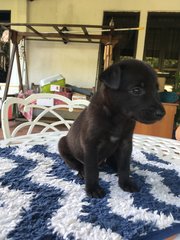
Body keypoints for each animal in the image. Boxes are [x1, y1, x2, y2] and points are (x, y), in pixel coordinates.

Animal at [58, 59, 165, 198]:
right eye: (136, 90)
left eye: (156, 89)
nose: (162, 113)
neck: (118, 118)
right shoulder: (91, 144)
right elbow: (92, 169)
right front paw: (93, 188)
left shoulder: (125, 143)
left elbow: (124, 165)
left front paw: (125, 182)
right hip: (63, 144)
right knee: (77, 164)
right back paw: (82, 171)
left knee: (112, 161)